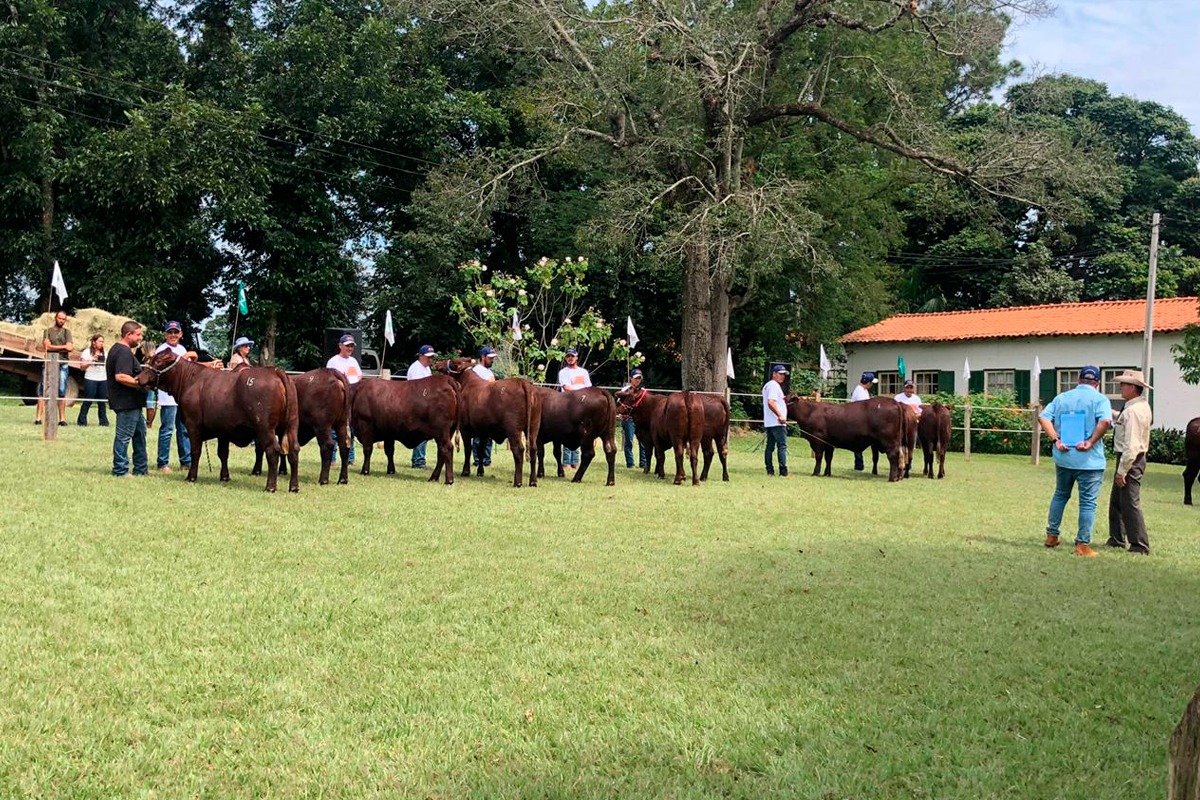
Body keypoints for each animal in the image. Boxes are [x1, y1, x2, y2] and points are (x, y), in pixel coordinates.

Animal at [136, 352, 300, 491]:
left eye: (158, 361)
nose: (138, 378)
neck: (190, 380)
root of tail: (274, 370)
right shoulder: (223, 430)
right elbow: (223, 453)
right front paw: (225, 476)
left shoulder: (193, 424)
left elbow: (195, 451)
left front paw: (191, 477)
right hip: (291, 425)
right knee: (293, 450)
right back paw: (293, 486)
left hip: (265, 428)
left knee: (273, 451)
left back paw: (270, 486)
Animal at [444, 357, 542, 489]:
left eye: (453, 362)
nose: (438, 364)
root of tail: (523, 383)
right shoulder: (484, 431)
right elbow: (481, 450)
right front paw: (480, 471)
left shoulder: (465, 428)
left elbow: (468, 449)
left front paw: (465, 471)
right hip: (533, 427)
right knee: (533, 449)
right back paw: (533, 481)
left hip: (513, 430)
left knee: (519, 450)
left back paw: (518, 482)